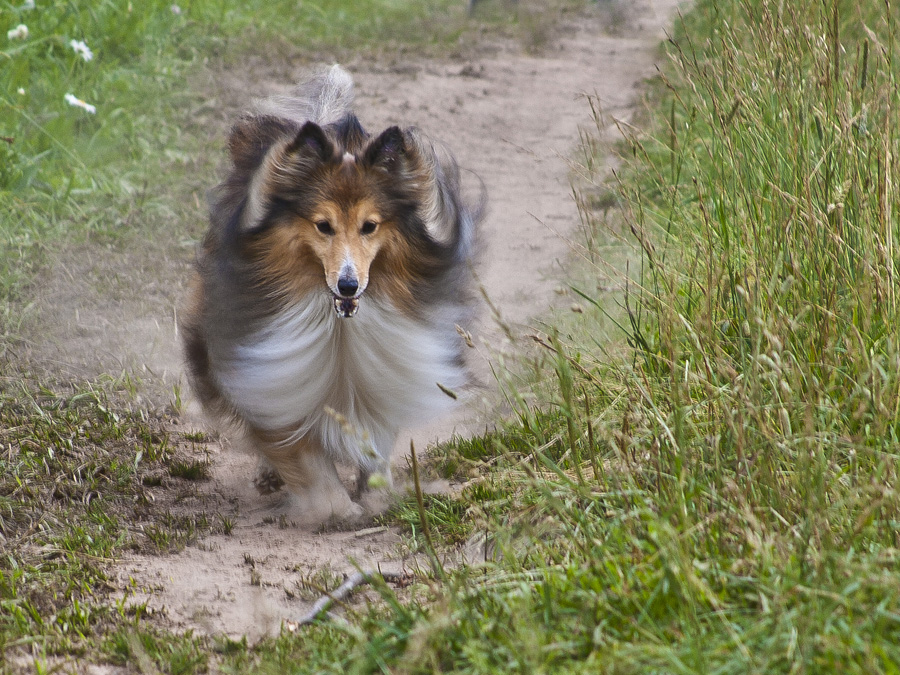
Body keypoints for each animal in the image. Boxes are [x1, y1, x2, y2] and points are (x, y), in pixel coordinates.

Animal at [178, 66, 482, 524]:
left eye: (370, 226)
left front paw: (376, 495)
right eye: (323, 225)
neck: (338, 331)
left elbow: (376, 441)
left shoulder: (381, 373)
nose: (348, 285)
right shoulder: (273, 370)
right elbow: (301, 452)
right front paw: (335, 508)